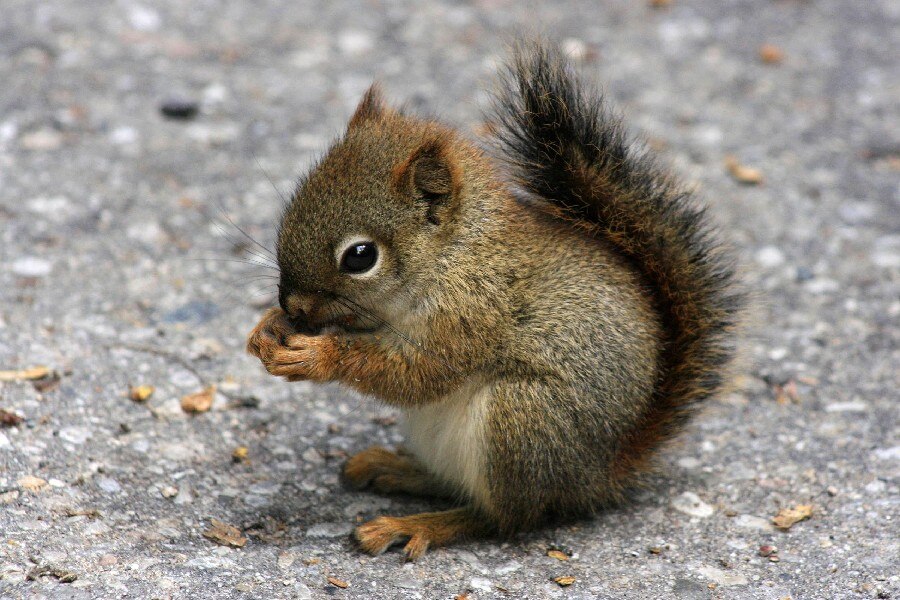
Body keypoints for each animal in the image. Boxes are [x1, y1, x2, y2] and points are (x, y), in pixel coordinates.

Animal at [244, 39, 740, 560]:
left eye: (360, 256)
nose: (294, 306)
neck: (456, 254)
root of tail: (598, 476)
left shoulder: (472, 313)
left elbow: (418, 373)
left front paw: (317, 356)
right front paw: (268, 329)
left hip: (521, 421)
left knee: (502, 517)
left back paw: (417, 524)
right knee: (455, 485)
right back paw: (395, 468)